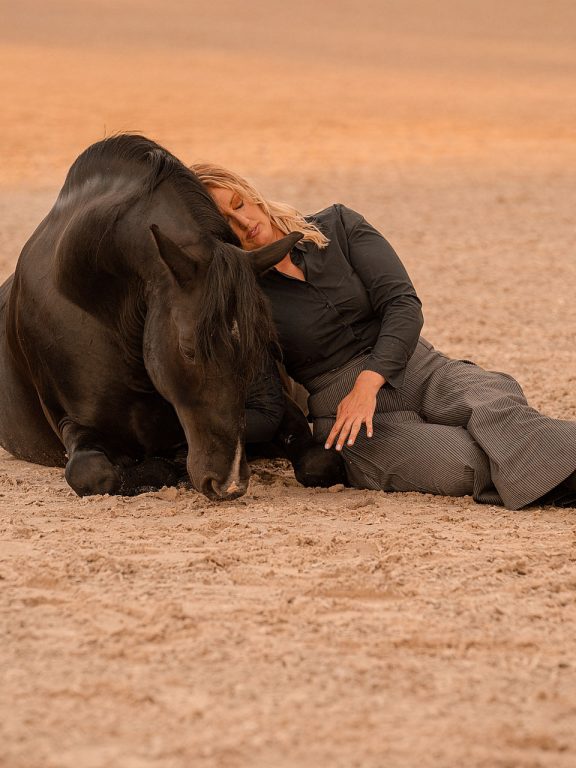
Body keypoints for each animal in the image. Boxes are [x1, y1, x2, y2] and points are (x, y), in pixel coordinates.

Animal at [0, 134, 345, 500]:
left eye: (262, 345)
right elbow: (93, 473)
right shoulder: (74, 424)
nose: (229, 482)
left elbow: (320, 459)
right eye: (188, 349)